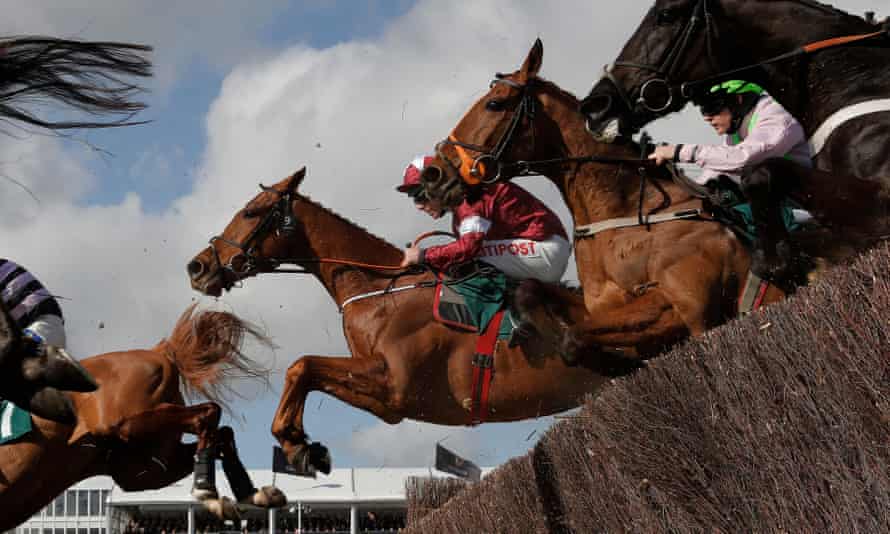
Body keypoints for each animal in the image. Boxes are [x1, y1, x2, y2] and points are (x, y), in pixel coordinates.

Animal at [0, 306, 285, 531]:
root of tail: (158, 352)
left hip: (123, 429)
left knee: (208, 414)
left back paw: (209, 491)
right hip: (142, 465)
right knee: (218, 429)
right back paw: (247, 494)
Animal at [186, 167, 631, 476]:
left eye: (251, 212)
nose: (197, 267)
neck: (380, 288)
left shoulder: (396, 387)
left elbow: (302, 366)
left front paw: (296, 445)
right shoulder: (387, 395)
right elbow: (308, 371)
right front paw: (303, 445)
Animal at [428, 39, 874, 365]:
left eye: (495, 104)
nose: (435, 172)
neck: (625, 216)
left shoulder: (688, 308)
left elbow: (579, 335)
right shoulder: (622, 318)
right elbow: (537, 298)